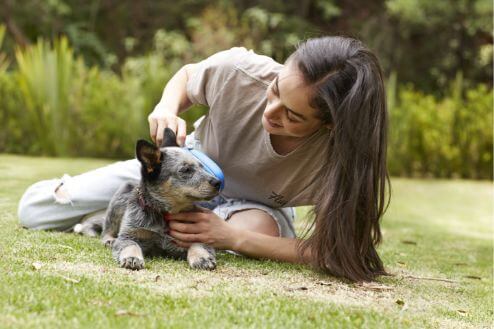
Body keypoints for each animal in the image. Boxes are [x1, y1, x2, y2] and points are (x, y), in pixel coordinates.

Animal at [73, 128, 220, 270]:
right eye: (186, 170)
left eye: (202, 167)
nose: (218, 182)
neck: (163, 214)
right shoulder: (129, 235)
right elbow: (131, 245)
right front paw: (132, 257)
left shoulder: (194, 235)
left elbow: (198, 244)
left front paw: (202, 258)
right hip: (119, 200)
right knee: (107, 229)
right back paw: (109, 240)